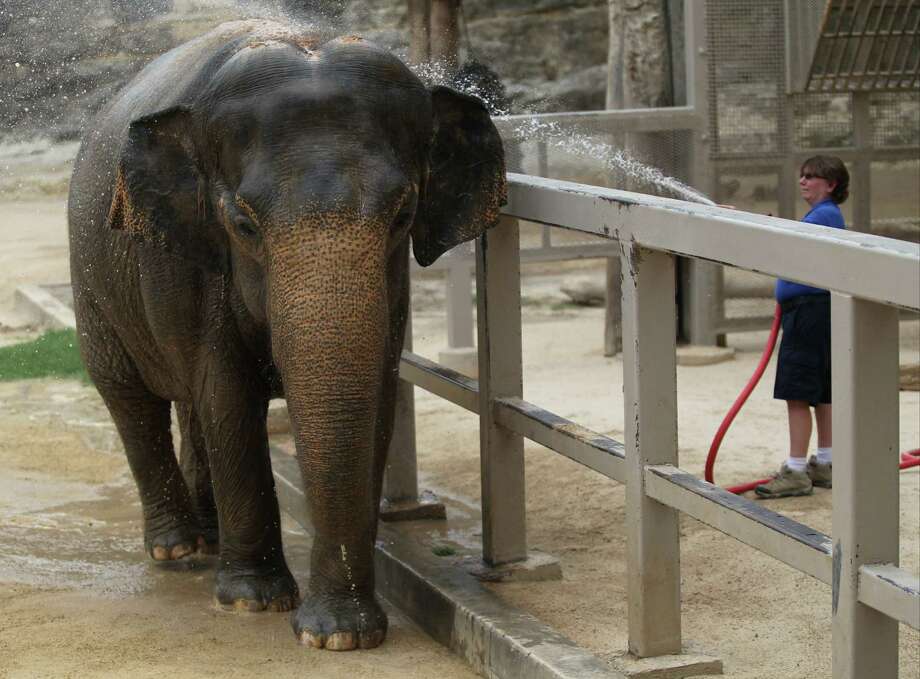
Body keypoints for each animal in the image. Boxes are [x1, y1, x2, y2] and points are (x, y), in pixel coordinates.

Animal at [68, 19, 506, 651]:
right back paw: (178, 549)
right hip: (93, 283)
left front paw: (341, 635)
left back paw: (208, 536)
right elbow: (227, 396)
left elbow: (374, 397)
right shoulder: (189, 262)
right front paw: (255, 602)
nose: (328, 629)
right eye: (243, 225)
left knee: (189, 408)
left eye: (402, 217)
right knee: (131, 398)